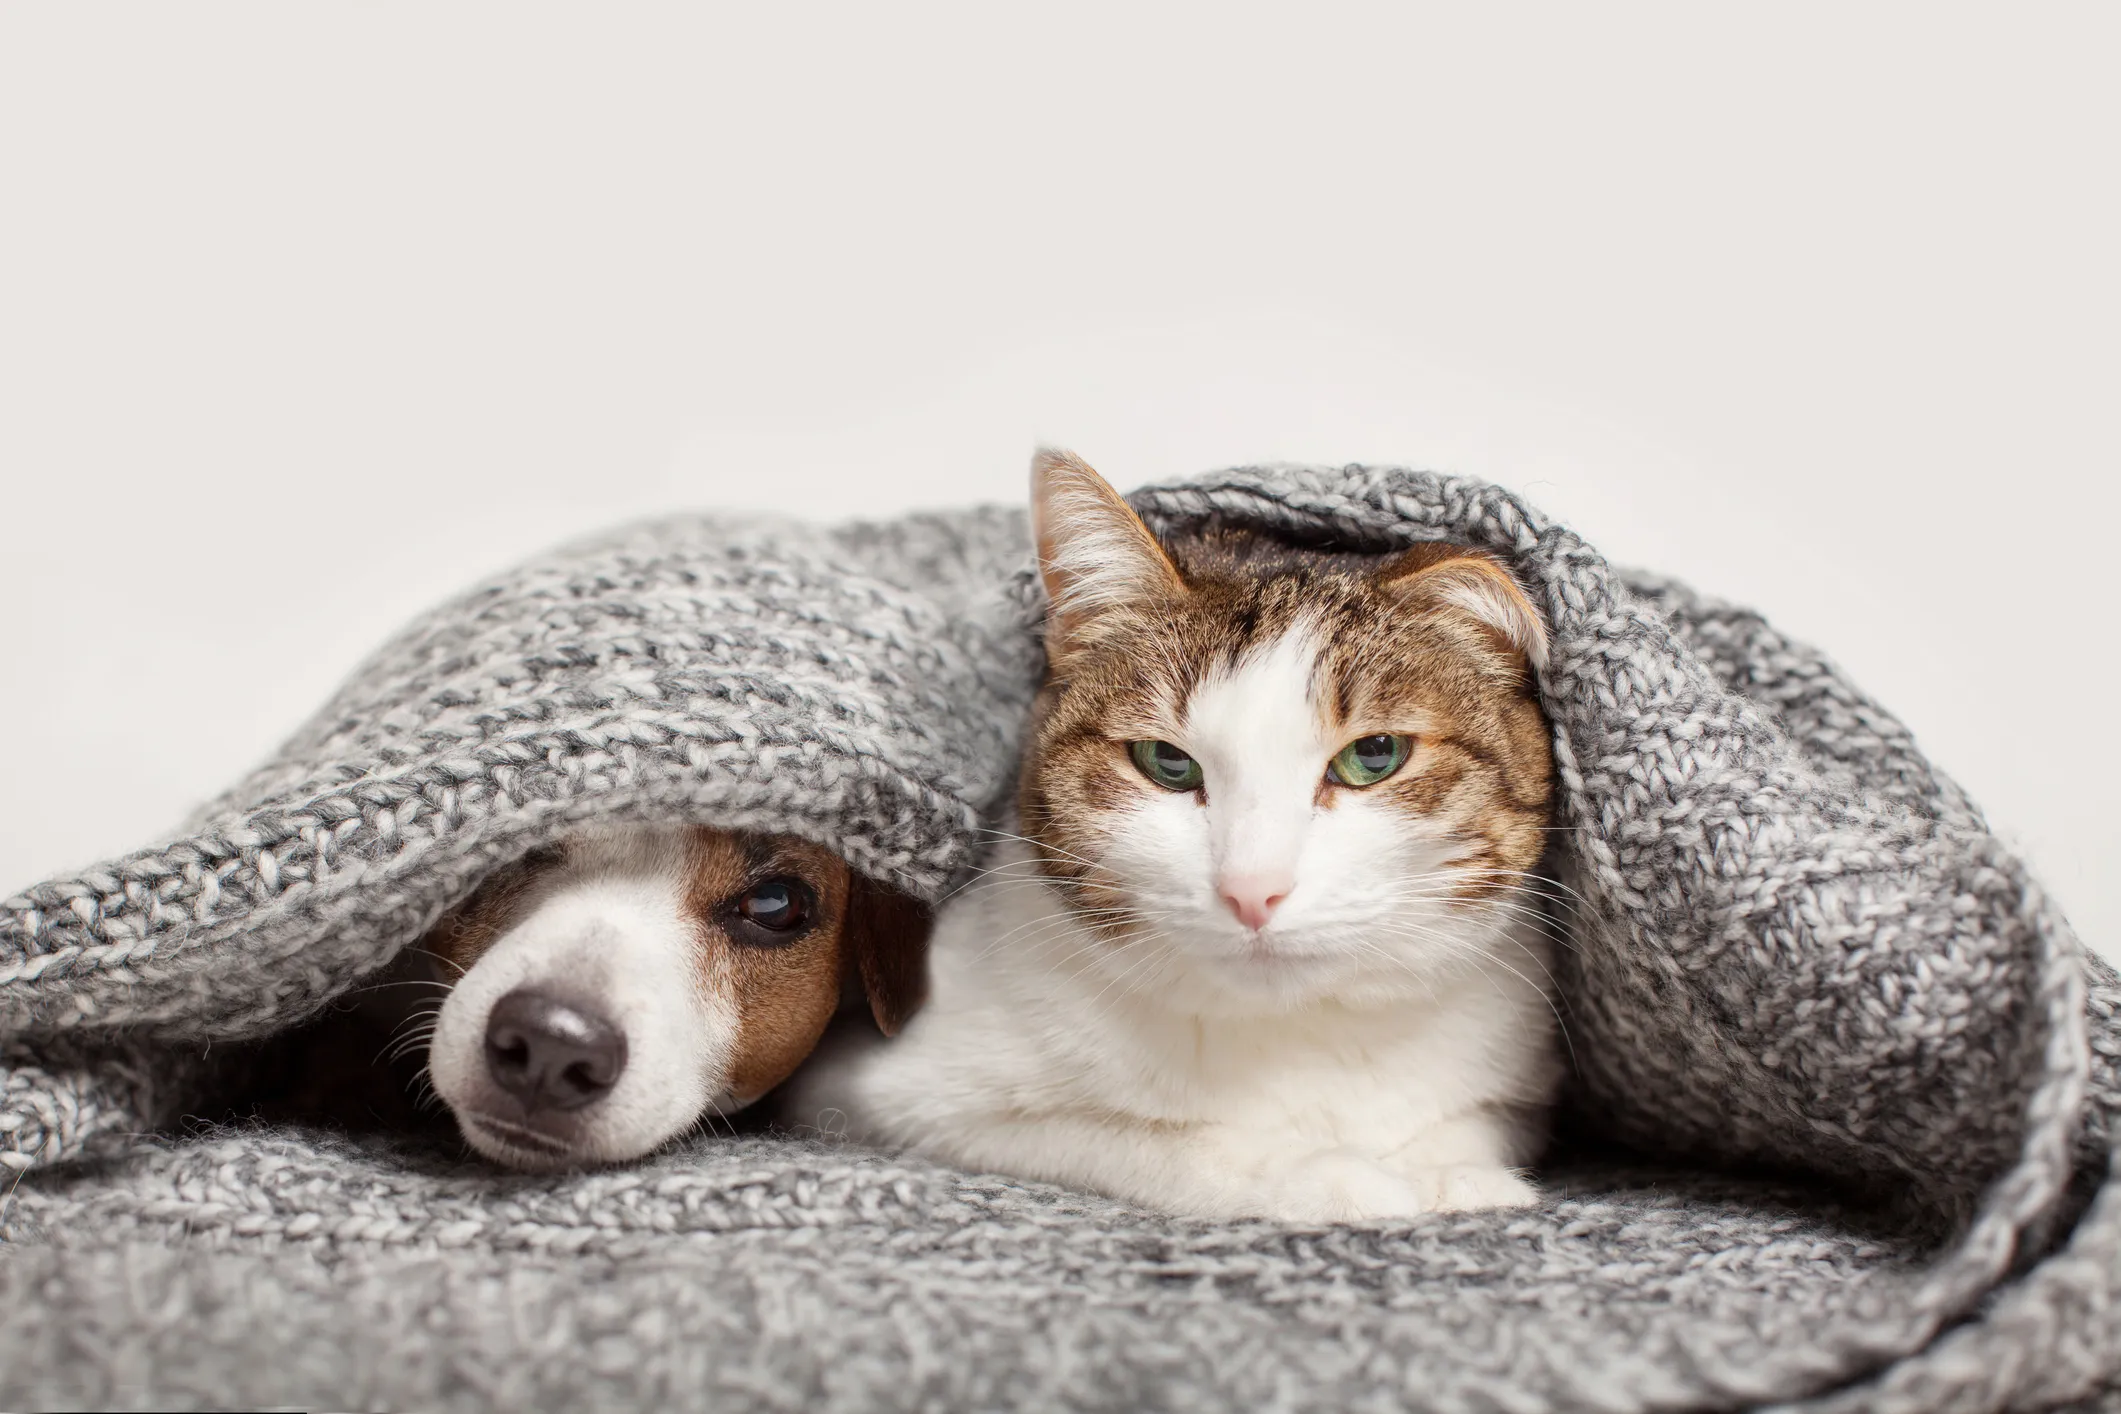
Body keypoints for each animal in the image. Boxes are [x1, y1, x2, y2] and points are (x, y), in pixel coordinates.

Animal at [789, 455, 1569, 1229]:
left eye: (1374, 756)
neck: (1292, 1030)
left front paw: (1450, 1171)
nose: (1252, 890)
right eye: (1166, 763)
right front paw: (1318, 1175)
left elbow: (1475, 1120)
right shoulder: (884, 1091)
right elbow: (1141, 1141)